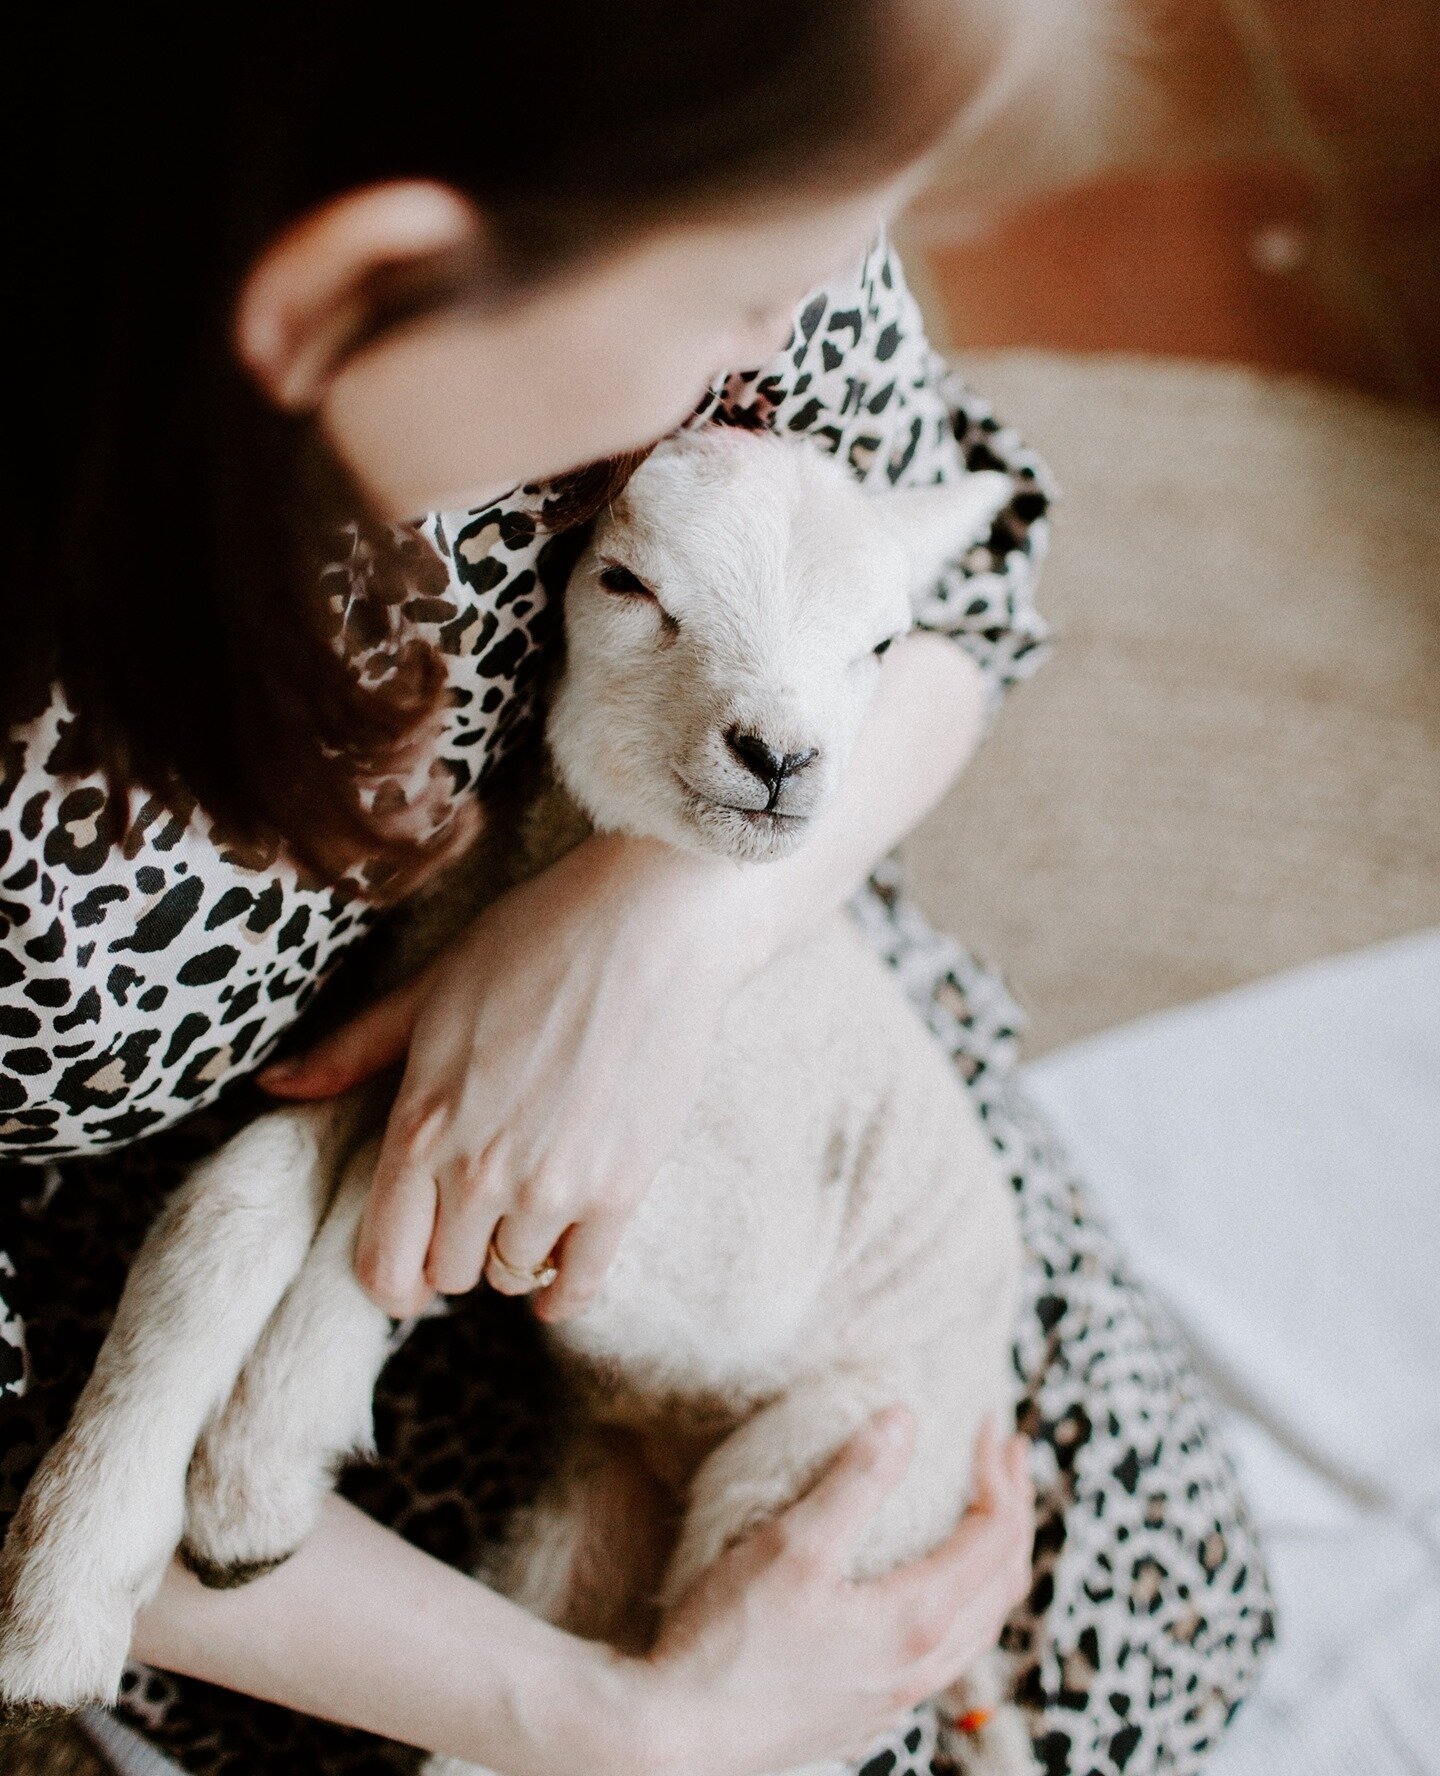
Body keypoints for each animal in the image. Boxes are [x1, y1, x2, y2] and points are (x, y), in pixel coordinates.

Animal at [0, 433, 1036, 1776]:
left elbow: (408, 1178)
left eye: (882, 644)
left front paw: (259, 1466)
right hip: (602, 1514)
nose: (780, 758)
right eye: (627, 585)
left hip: (835, 1466)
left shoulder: (684, 1212)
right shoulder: (400, 1031)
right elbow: (245, 1197)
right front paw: (70, 1584)